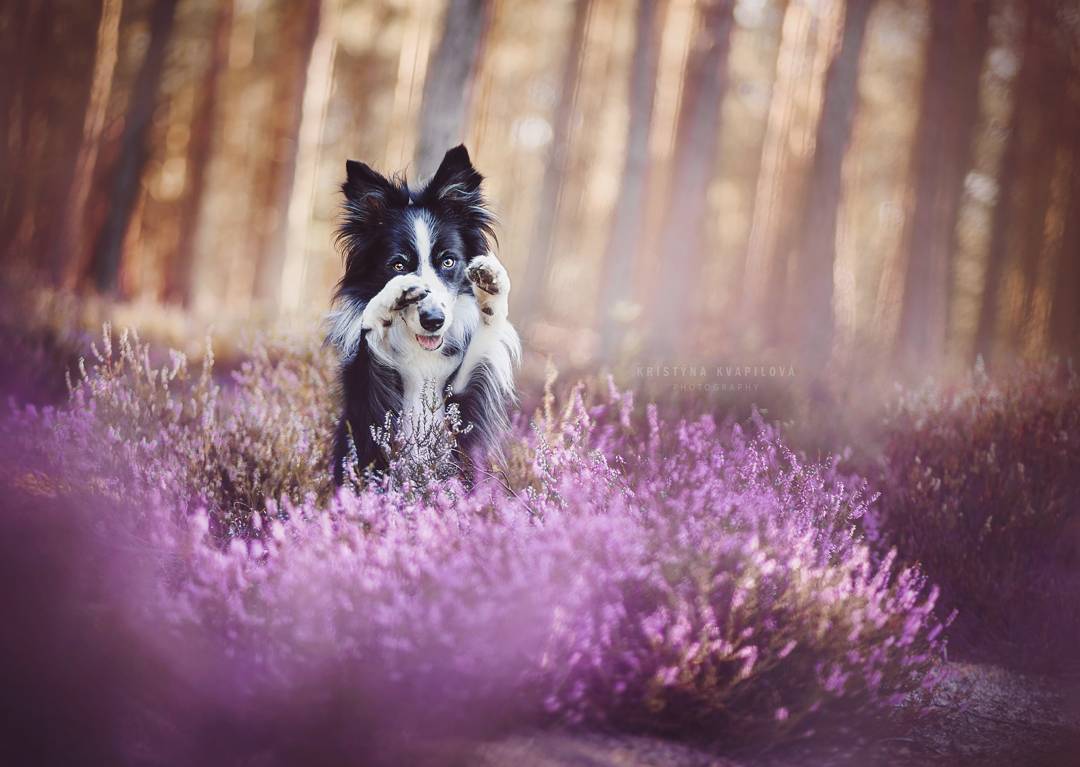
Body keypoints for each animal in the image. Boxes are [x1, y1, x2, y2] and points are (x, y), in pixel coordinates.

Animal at [324, 144, 518, 483]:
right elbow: (371, 338)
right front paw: (392, 295)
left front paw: (493, 286)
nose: (433, 321)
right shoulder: (369, 404)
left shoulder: (463, 399)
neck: (422, 352)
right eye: (398, 265)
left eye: (448, 261)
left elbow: (484, 339)